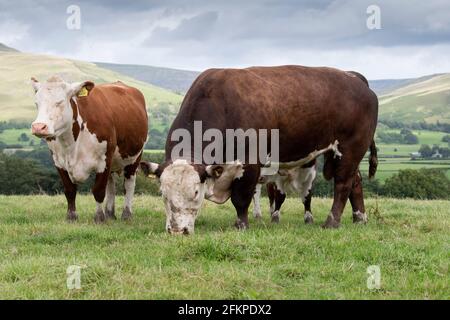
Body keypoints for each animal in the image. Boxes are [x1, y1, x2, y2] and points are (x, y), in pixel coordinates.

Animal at [30, 76, 149, 224]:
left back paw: (126, 214)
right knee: (111, 185)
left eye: (60, 102)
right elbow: (70, 190)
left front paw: (99, 217)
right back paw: (110, 214)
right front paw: (71, 217)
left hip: (135, 156)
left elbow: (98, 190)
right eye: (37, 103)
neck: (71, 144)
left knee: (129, 185)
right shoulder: (58, 162)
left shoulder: (104, 160)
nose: (38, 127)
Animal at [142, 65, 380, 235]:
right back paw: (359, 217)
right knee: (356, 182)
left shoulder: (249, 163)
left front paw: (241, 225)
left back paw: (332, 222)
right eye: (163, 193)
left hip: (350, 148)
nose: (176, 231)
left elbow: (241, 198)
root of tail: (353, 76)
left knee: (343, 184)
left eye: (195, 192)